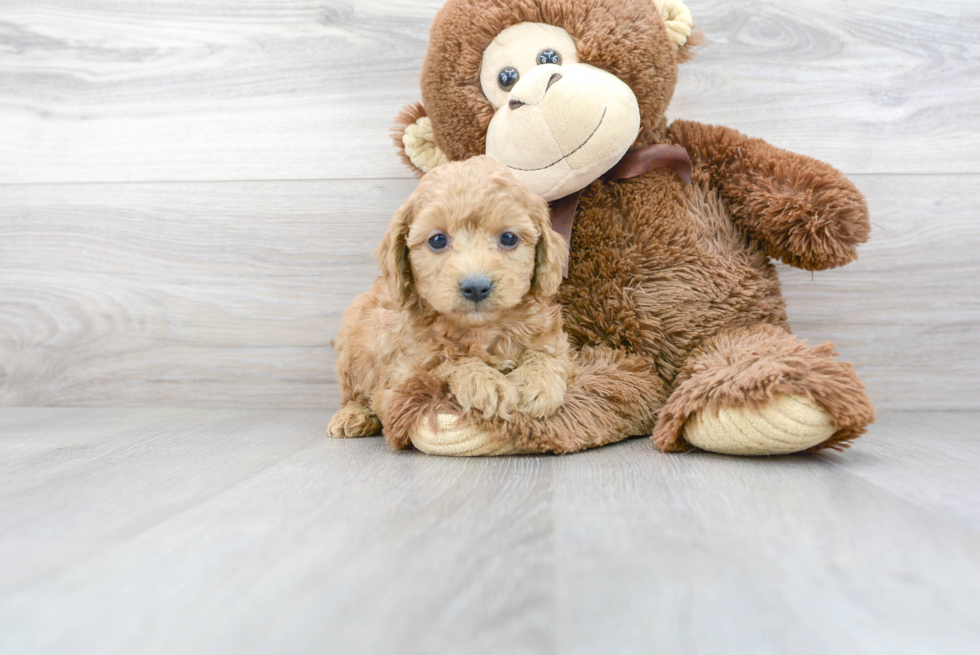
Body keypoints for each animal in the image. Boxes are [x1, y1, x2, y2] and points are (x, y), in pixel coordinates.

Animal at [330, 156, 576, 444]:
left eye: (509, 238)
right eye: (437, 240)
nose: (476, 286)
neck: (481, 329)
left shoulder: (554, 340)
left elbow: (547, 354)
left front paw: (536, 384)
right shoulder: (405, 374)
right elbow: (448, 363)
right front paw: (485, 382)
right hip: (351, 353)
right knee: (353, 394)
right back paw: (352, 416)